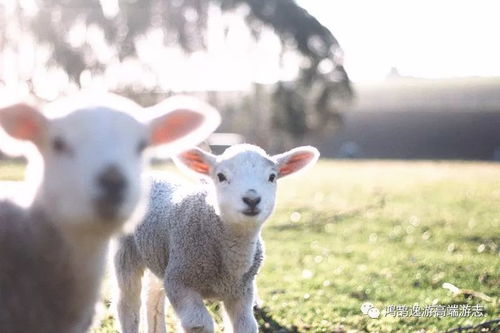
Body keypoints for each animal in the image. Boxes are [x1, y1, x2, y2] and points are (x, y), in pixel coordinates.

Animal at [112, 143, 320, 332]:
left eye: (272, 177)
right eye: (221, 176)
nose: (252, 199)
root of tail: (152, 175)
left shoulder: (242, 291)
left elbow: (246, 325)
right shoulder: (179, 281)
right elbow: (199, 323)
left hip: (159, 256)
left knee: (153, 298)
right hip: (126, 253)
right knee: (127, 303)